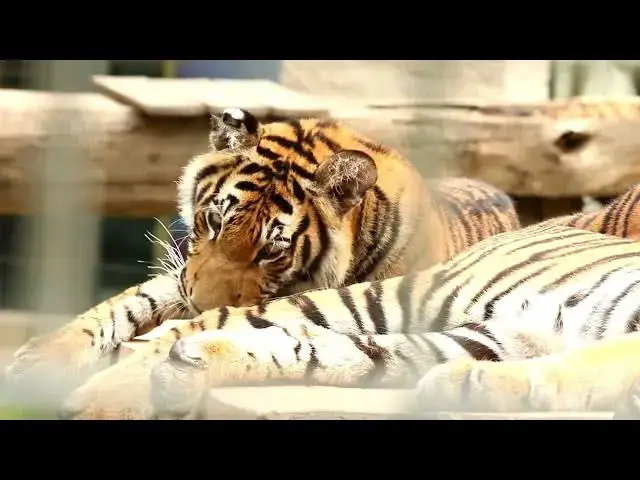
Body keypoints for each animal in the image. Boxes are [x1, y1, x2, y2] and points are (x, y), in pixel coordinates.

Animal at [5, 107, 521, 410]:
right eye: (214, 220)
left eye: (272, 250)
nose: (198, 304)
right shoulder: (185, 273)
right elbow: (126, 302)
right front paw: (39, 359)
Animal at [49, 220, 640, 420]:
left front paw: (471, 388)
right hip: (405, 296)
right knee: (238, 313)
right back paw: (99, 391)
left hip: (471, 333)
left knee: (328, 348)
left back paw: (181, 368)